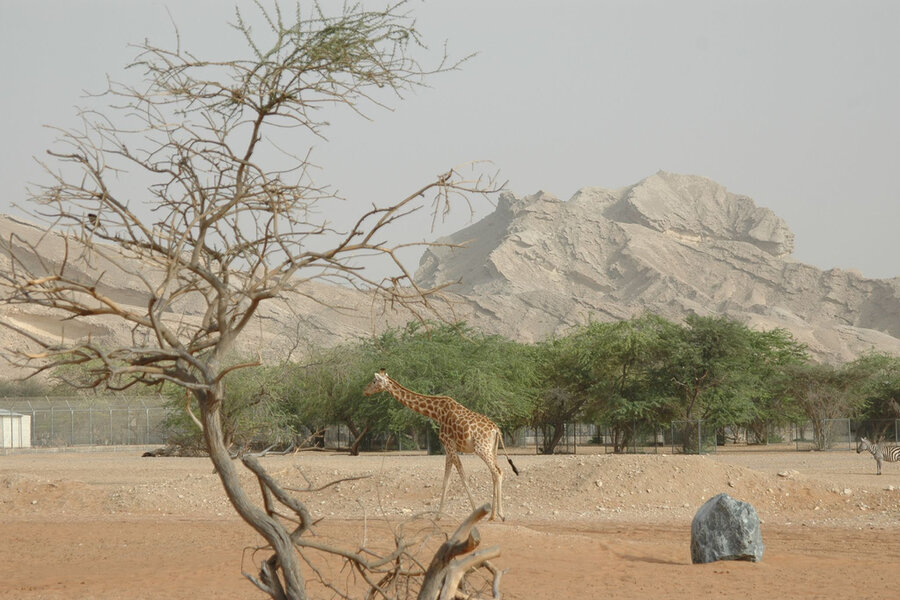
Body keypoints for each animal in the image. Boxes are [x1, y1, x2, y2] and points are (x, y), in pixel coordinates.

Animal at [360, 368, 520, 516]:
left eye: (374, 381)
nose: (364, 391)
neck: (436, 412)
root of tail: (496, 430)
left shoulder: (448, 444)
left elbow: (462, 477)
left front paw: (474, 510)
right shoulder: (448, 448)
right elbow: (446, 480)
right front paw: (438, 515)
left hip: (482, 449)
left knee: (497, 472)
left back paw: (500, 514)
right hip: (492, 449)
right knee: (494, 472)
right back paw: (493, 515)